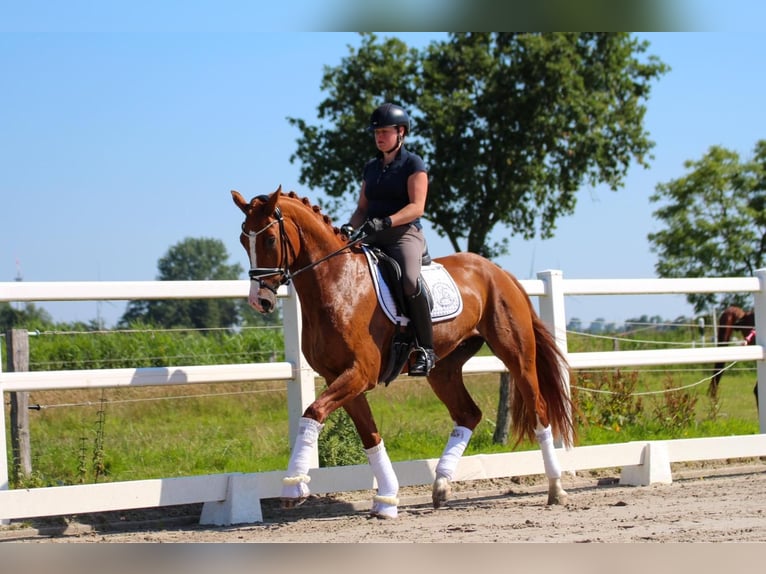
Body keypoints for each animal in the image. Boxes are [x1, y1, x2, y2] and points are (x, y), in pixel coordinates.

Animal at [234, 187, 576, 520]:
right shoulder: (341, 378)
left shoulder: (360, 374)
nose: (259, 301)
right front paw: (386, 499)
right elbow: (369, 436)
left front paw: (293, 487)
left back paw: (556, 488)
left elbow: (313, 413)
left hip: (517, 356)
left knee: (539, 409)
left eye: (270, 238)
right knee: (468, 413)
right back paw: (441, 485)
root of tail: (497, 271)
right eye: (242, 240)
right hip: (443, 369)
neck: (337, 284)